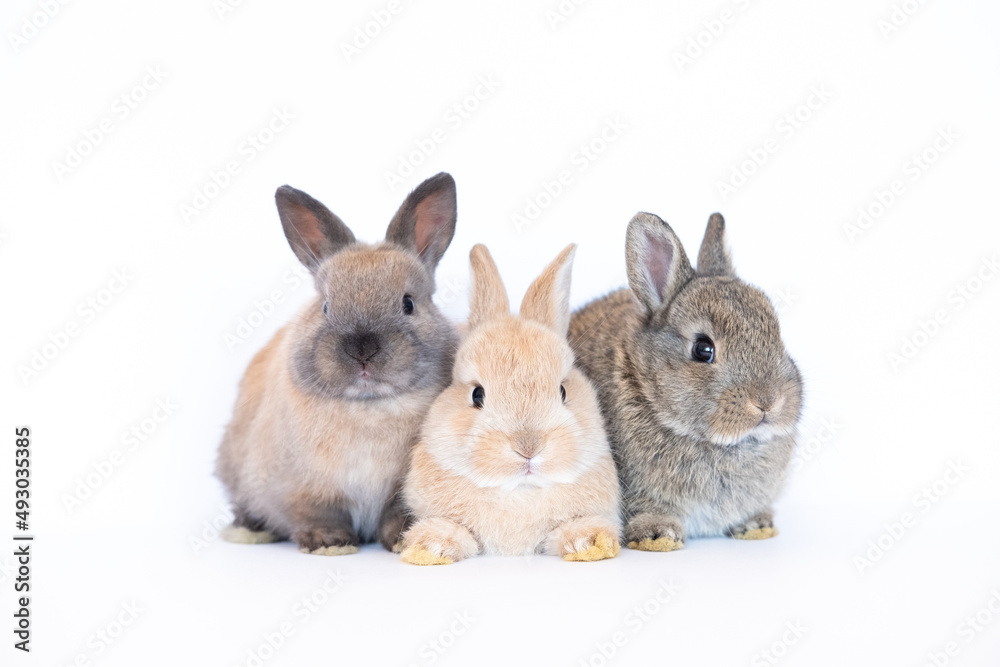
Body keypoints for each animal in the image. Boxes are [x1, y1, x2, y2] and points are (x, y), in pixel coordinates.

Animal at [215, 172, 460, 555]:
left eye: (408, 303)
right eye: (326, 306)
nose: (362, 350)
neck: (368, 406)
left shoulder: (399, 491)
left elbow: (397, 514)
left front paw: (404, 538)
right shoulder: (303, 490)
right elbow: (317, 514)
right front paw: (329, 543)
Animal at [399, 244, 622, 565]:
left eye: (563, 391)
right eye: (477, 394)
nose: (528, 447)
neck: (519, 491)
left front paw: (590, 542)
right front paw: (430, 547)